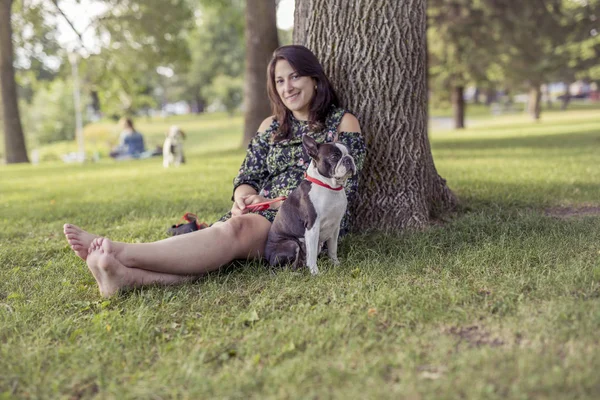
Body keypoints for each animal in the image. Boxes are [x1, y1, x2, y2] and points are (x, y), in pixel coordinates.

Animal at [264, 134, 356, 276]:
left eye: (351, 153)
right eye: (334, 157)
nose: (348, 159)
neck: (329, 187)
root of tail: (268, 259)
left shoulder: (335, 226)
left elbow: (332, 249)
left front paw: (336, 264)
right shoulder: (312, 227)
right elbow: (311, 255)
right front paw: (315, 272)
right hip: (291, 244)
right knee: (281, 269)